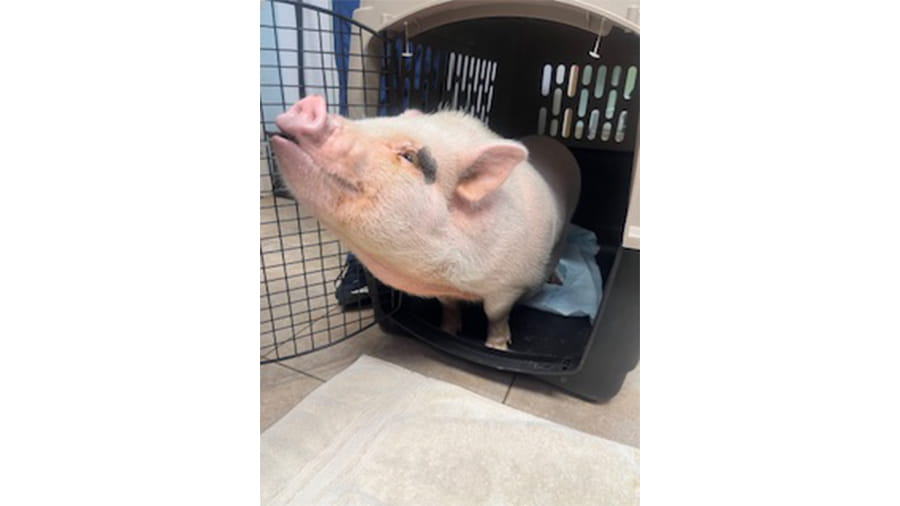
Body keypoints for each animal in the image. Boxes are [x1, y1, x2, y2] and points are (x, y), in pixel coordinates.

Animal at [270, 95, 581, 350]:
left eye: (409, 156)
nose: (310, 103)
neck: (449, 279)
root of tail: (556, 145)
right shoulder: (446, 292)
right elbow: (449, 306)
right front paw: (447, 332)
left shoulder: (509, 285)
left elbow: (495, 314)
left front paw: (497, 347)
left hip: (563, 232)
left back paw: (556, 280)